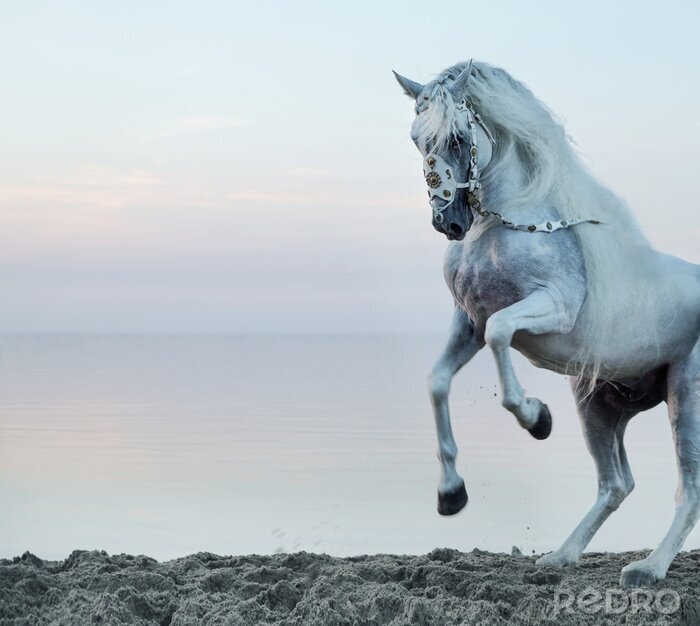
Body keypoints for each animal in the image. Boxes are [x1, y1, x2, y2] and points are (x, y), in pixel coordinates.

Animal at [393, 60, 700, 587]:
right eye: (417, 139)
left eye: (457, 137)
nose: (448, 223)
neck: (502, 226)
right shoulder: (467, 323)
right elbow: (436, 382)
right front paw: (451, 493)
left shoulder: (548, 307)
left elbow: (501, 335)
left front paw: (535, 418)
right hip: (598, 405)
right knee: (616, 484)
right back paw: (560, 556)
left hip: (686, 395)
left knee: (688, 488)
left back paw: (648, 569)